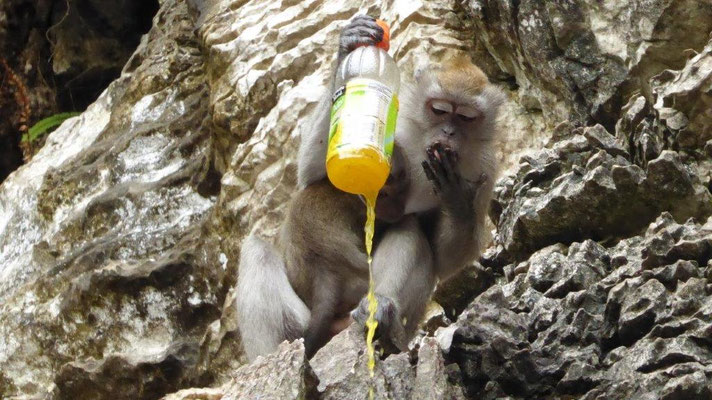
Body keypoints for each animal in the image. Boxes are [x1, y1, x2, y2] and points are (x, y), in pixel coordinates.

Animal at [236, 14, 504, 361]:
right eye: (440, 110)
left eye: (467, 117)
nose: (448, 132)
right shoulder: (396, 120)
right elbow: (312, 174)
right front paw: (348, 45)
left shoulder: (486, 168)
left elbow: (446, 259)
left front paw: (456, 199)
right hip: (305, 314)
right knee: (257, 250)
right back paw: (270, 357)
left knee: (410, 231)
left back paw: (382, 315)